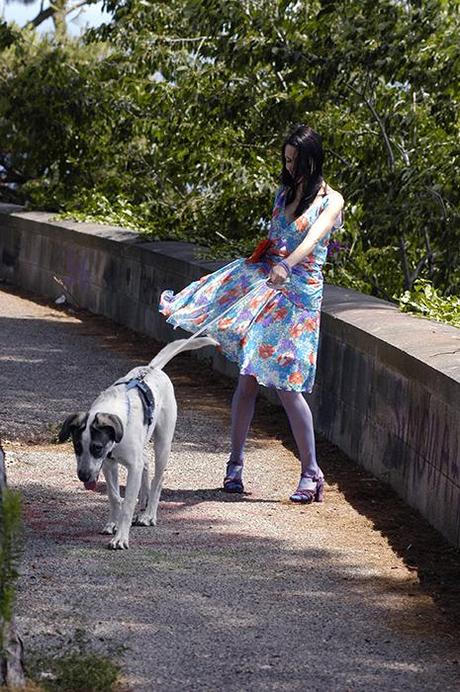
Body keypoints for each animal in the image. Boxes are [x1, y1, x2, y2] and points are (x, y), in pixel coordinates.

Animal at [58, 338, 217, 548]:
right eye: (77, 447)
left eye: (97, 448)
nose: (83, 476)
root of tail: (152, 368)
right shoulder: (108, 464)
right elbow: (114, 497)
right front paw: (112, 523)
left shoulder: (131, 466)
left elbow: (127, 504)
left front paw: (120, 538)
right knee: (146, 463)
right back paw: (143, 503)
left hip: (163, 444)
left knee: (158, 479)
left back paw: (148, 515)